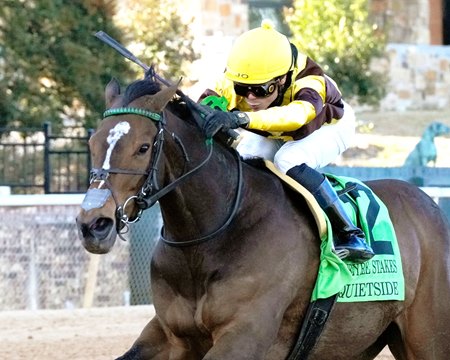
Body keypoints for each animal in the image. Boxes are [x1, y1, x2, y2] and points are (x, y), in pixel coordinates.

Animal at [76, 76, 450, 360]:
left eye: (142, 147)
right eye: (92, 143)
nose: (94, 225)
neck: (208, 239)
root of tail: (428, 205)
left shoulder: (245, 335)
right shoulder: (169, 334)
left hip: (427, 337)